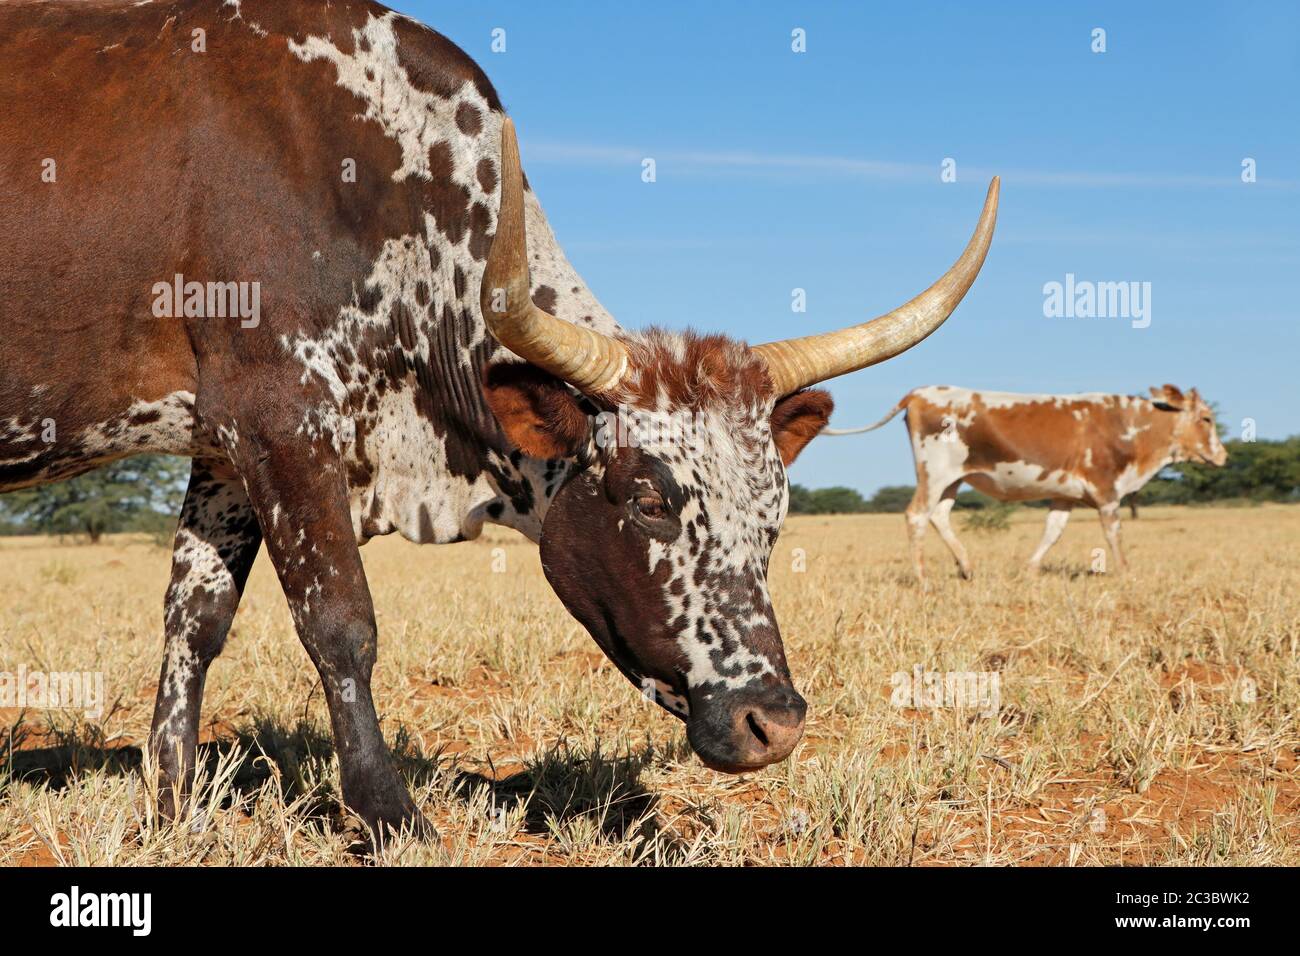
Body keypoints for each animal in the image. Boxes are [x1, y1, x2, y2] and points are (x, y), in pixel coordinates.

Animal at [0, 0, 1003, 842]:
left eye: (774, 517)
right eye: (649, 502)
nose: (773, 722)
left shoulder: (223, 449)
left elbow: (194, 622)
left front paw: (170, 807)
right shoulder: (281, 414)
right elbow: (340, 621)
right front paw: (391, 815)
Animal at [826, 385, 1222, 580]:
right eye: (1206, 418)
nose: (1222, 456)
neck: (1127, 425)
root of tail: (920, 392)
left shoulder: (1065, 494)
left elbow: (1053, 531)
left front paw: (1030, 570)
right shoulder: (1106, 489)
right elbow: (1114, 533)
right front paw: (1125, 573)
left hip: (954, 478)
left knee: (939, 515)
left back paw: (966, 567)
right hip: (935, 472)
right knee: (917, 515)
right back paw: (923, 578)